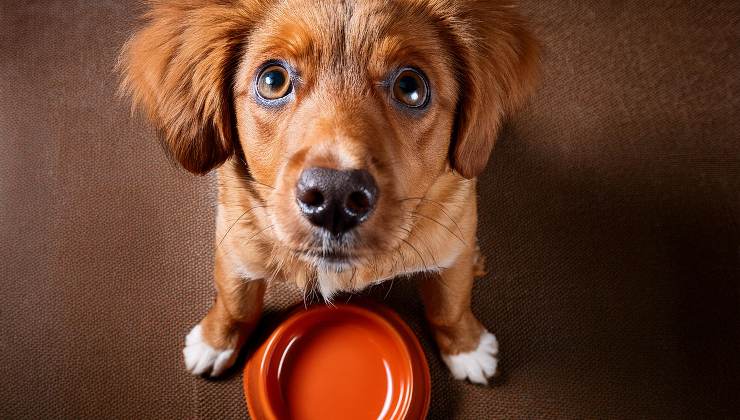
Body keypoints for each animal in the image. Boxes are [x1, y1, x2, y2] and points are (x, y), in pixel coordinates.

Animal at [120, 0, 536, 384]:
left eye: (411, 87)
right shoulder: (235, 244)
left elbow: (450, 305)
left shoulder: (454, 245)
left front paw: (467, 347)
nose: (335, 198)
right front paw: (214, 342)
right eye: (272, 81)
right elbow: (234, 301)